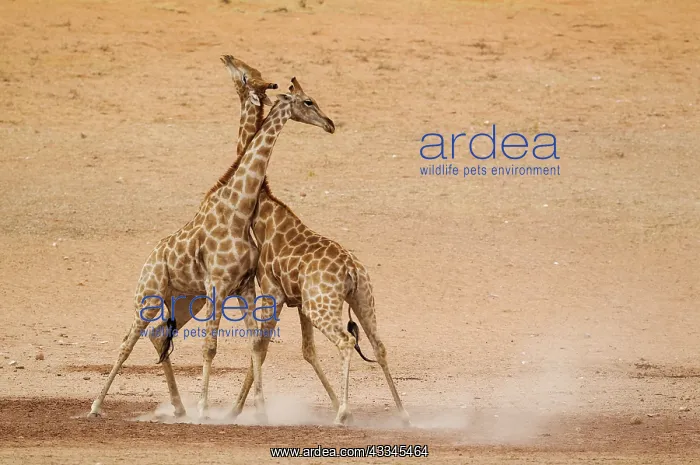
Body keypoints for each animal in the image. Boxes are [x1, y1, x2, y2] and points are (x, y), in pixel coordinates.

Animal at [88, 69, 335, 420]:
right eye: (308, 101)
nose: (330, 123)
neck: (239, 211)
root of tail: (149, 258)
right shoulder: (218, 285)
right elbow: (211, 347)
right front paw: (206, 409)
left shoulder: (244, 286)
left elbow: (254, 345)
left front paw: (259, 412)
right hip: (149, 295)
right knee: (127, 341)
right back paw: (96, 406)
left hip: (185, 301)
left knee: (157, 334)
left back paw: (179, 408)